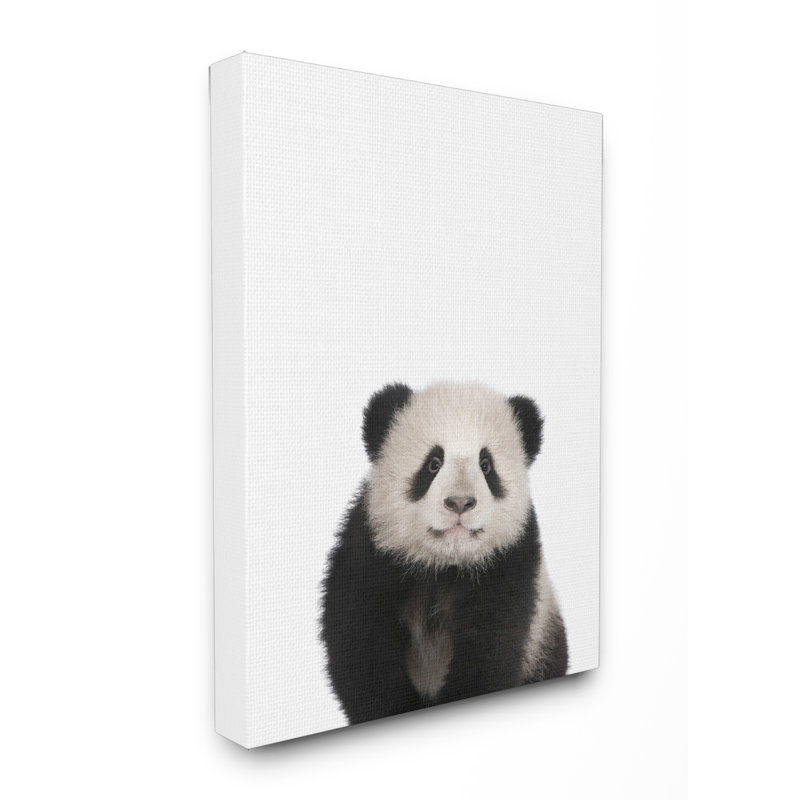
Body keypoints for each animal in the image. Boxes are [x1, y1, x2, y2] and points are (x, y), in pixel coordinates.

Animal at [321, 381, 568, 725]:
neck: (444, 564)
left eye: (486, 465)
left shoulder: (508, 564)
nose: (460, 503)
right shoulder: (371, 554)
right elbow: (361, 649)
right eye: (433, 463)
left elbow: (490, 647)